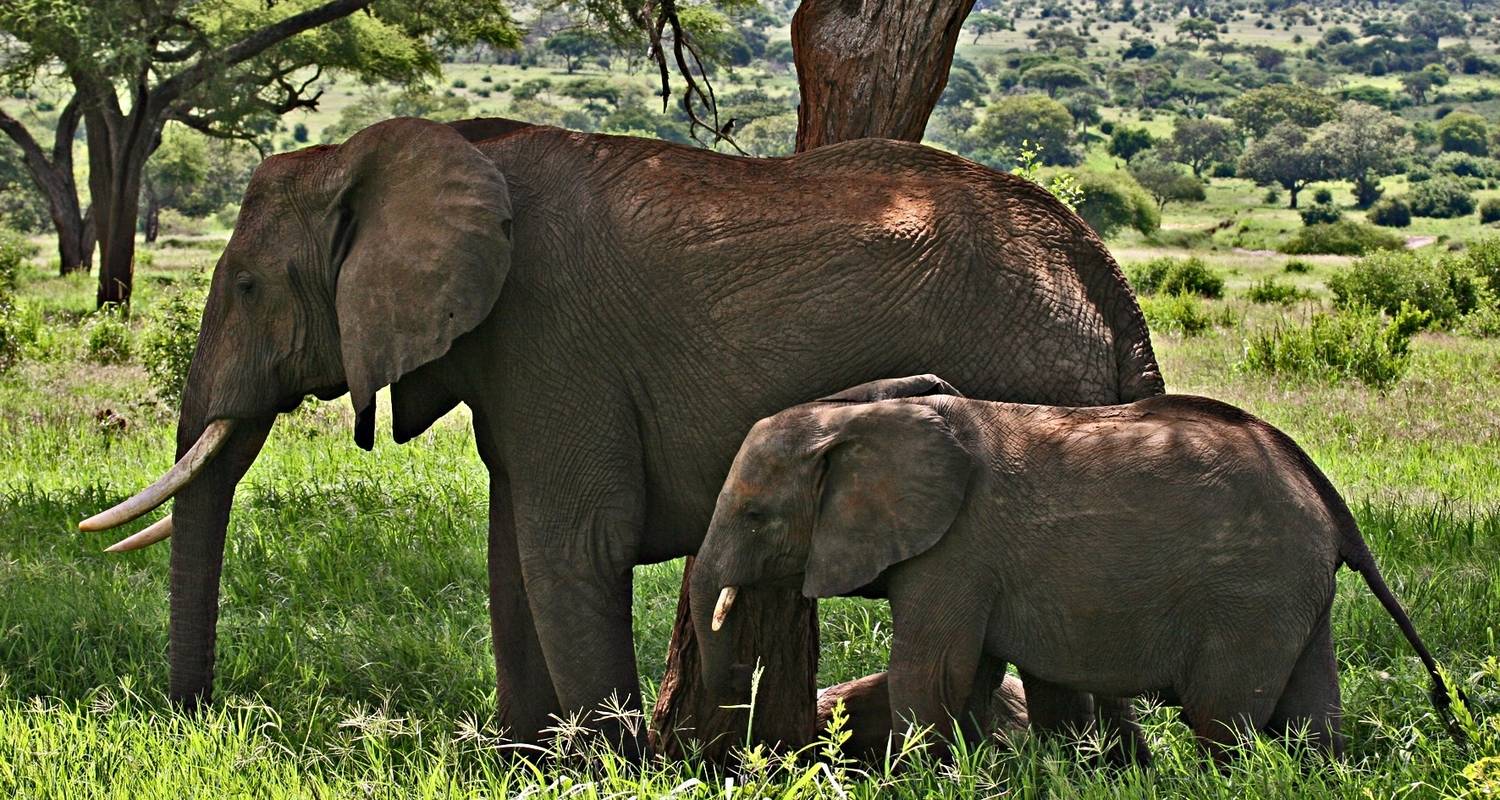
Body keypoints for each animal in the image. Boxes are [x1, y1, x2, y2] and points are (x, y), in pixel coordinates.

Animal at [76, 115, 1164, 750]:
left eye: (249, 287)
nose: (198, 719)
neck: (389, 152)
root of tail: (1101, 272)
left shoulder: (554, 332)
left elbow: (570, 546)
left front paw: (603, 763)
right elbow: (512, 551)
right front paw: (524, 762)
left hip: (1031, 373)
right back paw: (1102, 765)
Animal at [693, 381, 1452, 762]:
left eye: (755, 515)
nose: (728, 756)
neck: (861, 419)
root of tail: (1322, 492)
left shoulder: (956, 550)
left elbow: (933, 671)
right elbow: (969, 676)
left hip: (1252, 591)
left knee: (1224, 717)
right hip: (1295, 590)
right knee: (1308, 711)